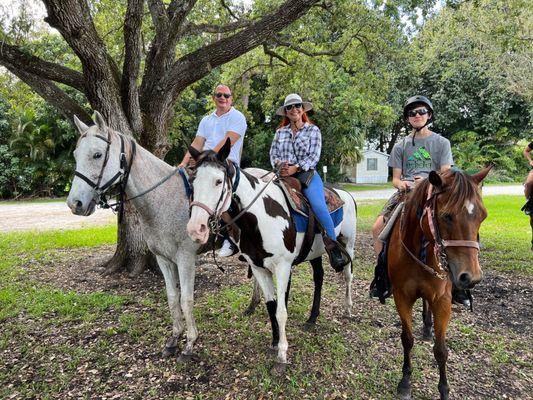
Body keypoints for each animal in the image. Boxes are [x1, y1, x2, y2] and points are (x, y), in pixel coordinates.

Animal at [185, 141, 356, 372]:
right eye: (192, 181)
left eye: (218, 181)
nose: (196, 228)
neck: (258, 217)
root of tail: (346, 194)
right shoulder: (258, 267)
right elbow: (271, 305)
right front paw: (275, 342)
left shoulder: (283, 267)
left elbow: (281, 310)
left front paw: (282, 354)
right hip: (316, 253)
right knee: (319, 279)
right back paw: (312, 319)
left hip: (349, 244)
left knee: (347, 276)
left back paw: (348, 308)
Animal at [384, 166, 488, 400]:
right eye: (446, 216)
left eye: (483, 216)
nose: (471, 277)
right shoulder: (401, 297)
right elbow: (407, 339)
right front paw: (405, 382)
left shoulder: (442, 299)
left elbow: (441, 350)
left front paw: (444, 390)